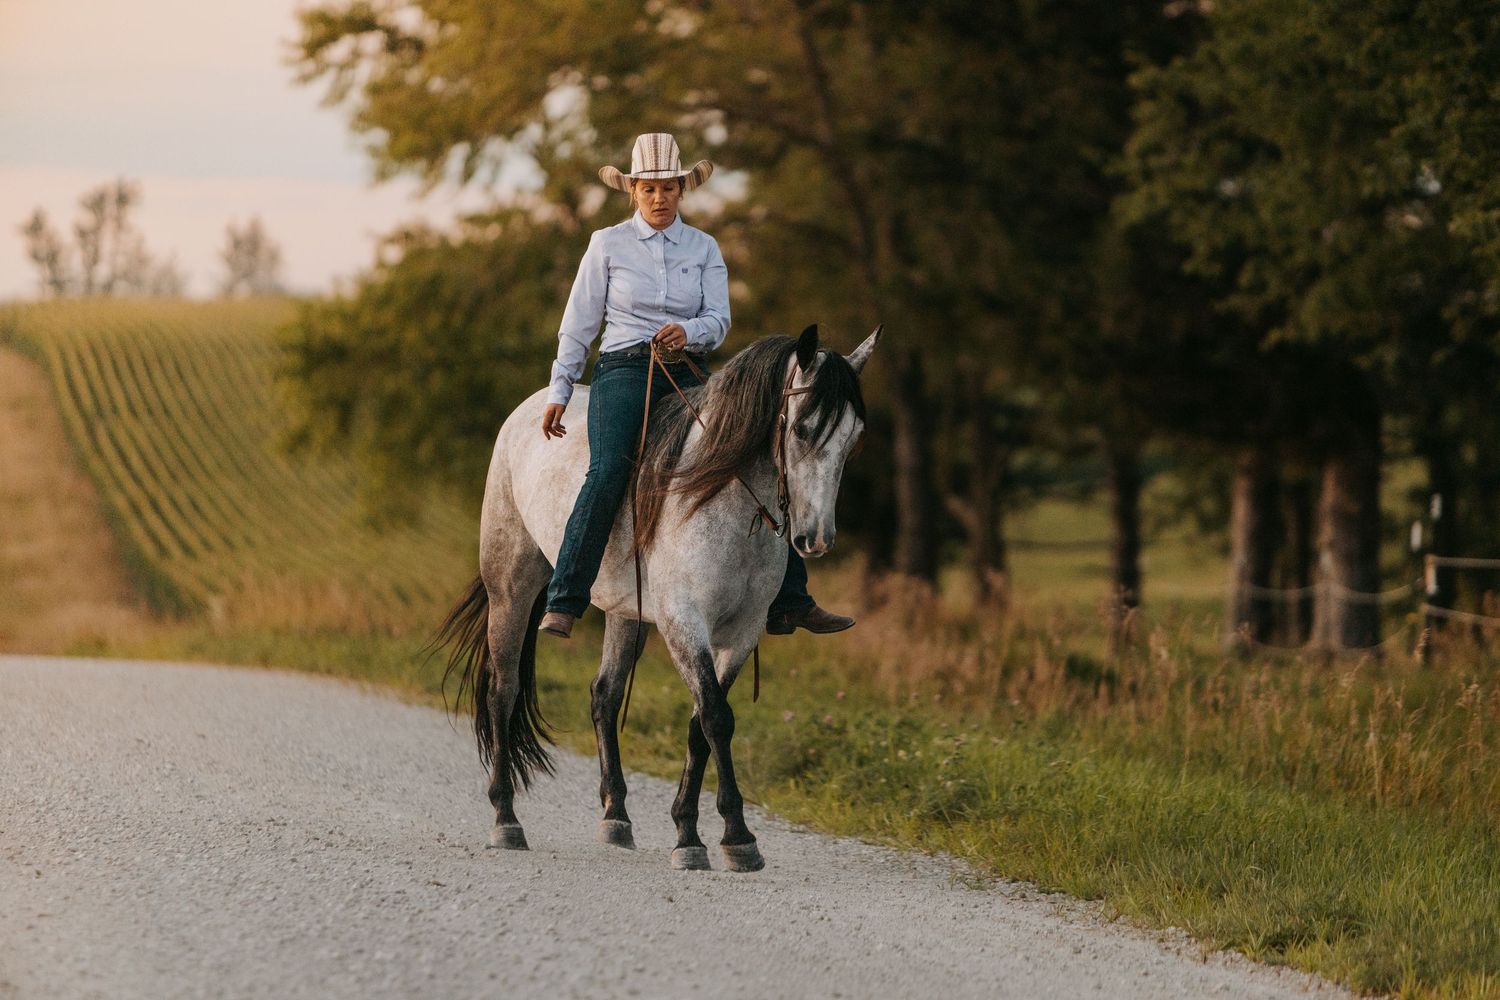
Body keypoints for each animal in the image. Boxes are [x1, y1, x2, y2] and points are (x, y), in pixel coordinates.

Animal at [436, 323, 881, 872]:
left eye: (853, 439)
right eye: (801, 429)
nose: (815, 540)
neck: (718, 498)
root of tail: (529, 411)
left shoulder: (741, 633)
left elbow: (700, 723)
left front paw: (689, 831)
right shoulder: (684, 623)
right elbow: (716, 718)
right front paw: (735, 837)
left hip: (625, 612)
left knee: (604, 695)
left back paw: (616, 818)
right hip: (511, 587)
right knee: (503, 689)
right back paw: (506, 820)